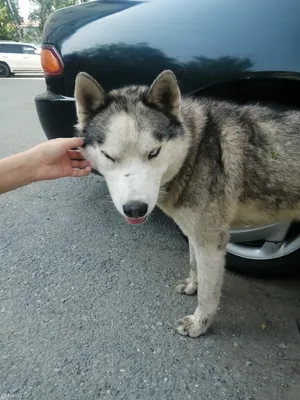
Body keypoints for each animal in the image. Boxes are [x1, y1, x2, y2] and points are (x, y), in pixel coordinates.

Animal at [74, 70, 300, 336]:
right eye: (109, 156)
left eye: (154, 152)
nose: (135, 209)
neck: (194, 150)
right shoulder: (194, 232)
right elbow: (194, 266)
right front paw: (193, 285)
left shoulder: (211, 241)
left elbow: (208, 294)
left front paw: (199, 323)